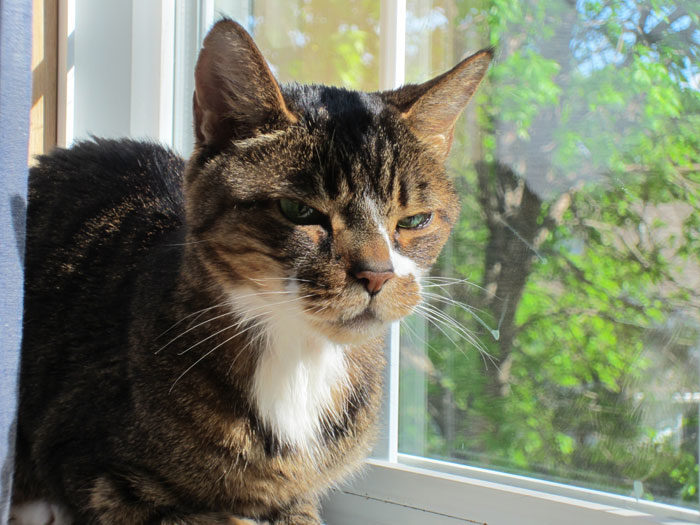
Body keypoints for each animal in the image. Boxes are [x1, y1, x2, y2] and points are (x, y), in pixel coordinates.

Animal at [10, 18, 492, 520]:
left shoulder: (296, 496)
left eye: (415, 220)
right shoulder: (94, 470)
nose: (377, 274)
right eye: (299, 210)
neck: (302, 360)